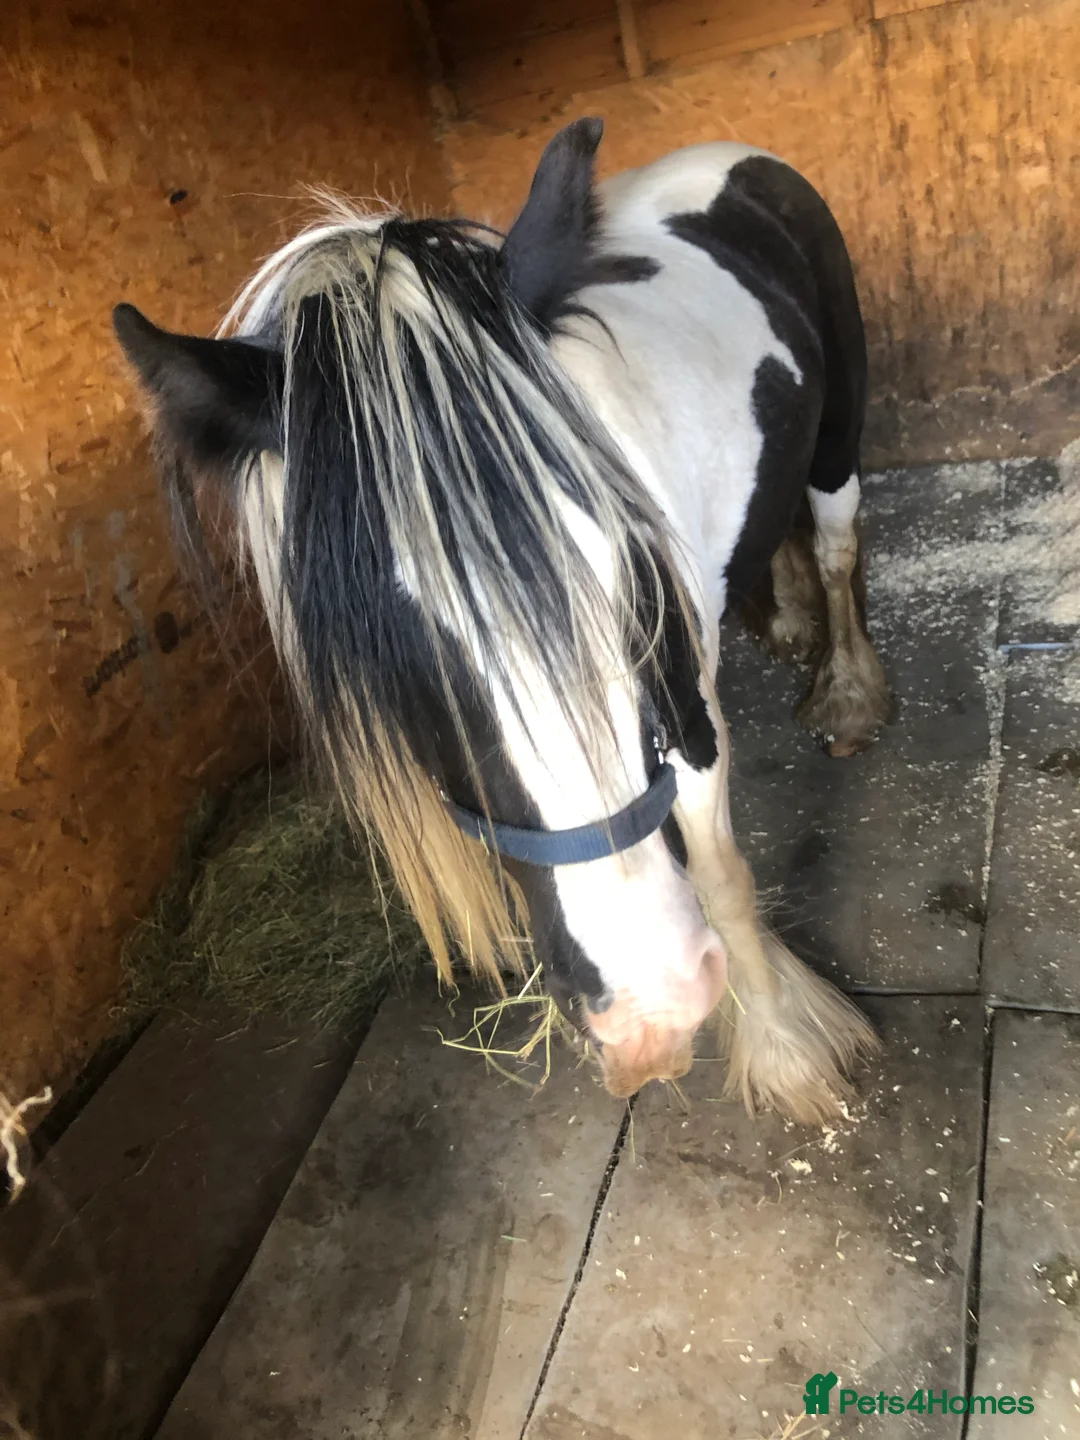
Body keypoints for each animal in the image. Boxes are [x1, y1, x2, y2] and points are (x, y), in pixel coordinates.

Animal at [113, 118, 890, 1120]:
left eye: (628, 566)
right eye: (391, 649)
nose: (655, 1004)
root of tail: (733, 155)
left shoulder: (684, 709)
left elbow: (722, 876)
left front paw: (787, 1056)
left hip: (840, 431)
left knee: (832, 541)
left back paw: (848, 693)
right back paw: (791, 618)